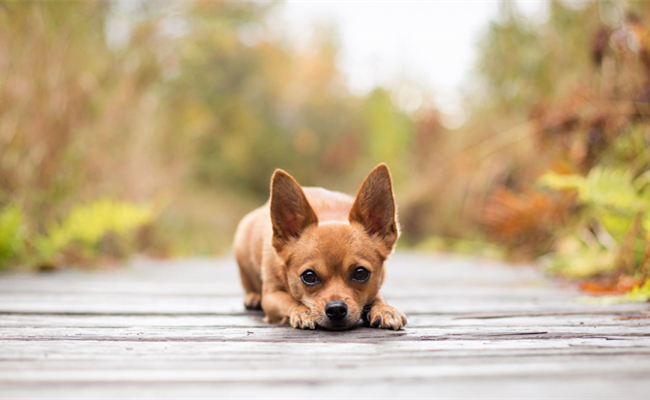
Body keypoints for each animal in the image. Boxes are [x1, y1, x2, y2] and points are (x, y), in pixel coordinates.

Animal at [233, 164, 404, 330]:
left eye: (361, 273)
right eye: (309, 276)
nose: (336, 309)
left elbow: (377, 296)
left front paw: (385, 309)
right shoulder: (271, 296)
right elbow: (290, 301)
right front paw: (303, 312)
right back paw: (253, 297)